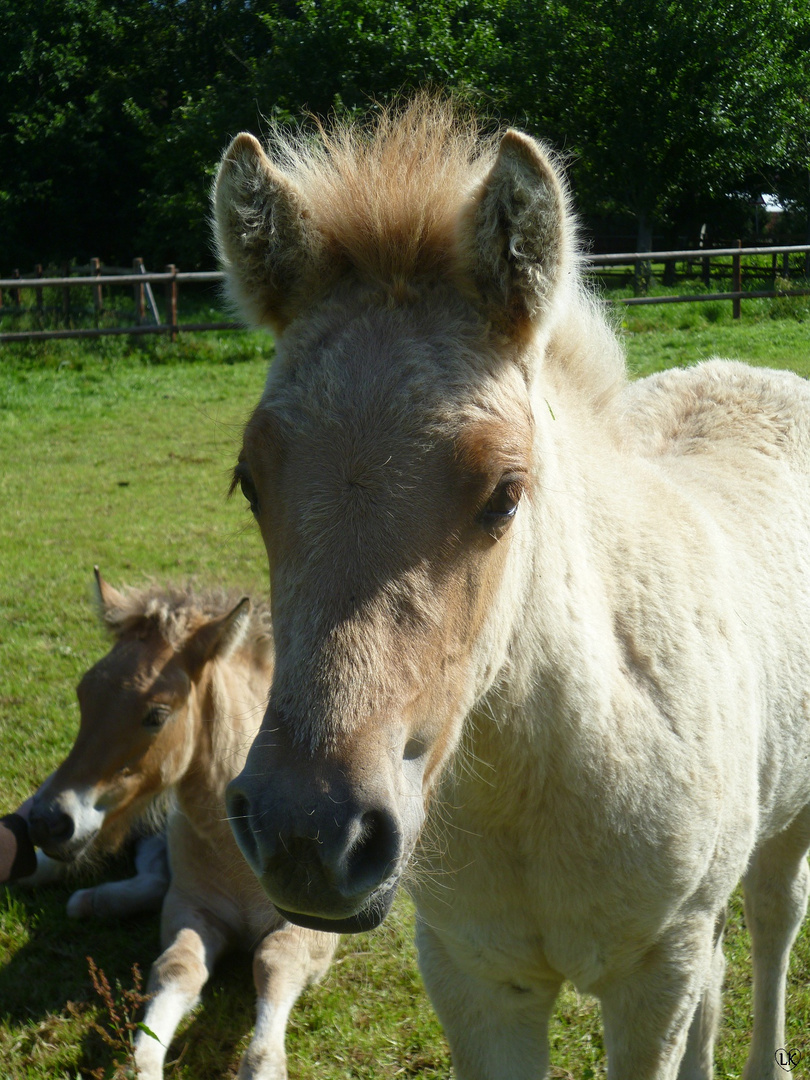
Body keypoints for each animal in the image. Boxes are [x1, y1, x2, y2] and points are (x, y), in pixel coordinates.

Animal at [29, 578, 339, 1080]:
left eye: (156, 714)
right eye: (82, 693)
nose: (47, 822)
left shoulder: (315, 928)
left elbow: (273, 961)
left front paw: (263, 1065)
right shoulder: (191, 907)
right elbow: (178, 967)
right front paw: (140, 1064)